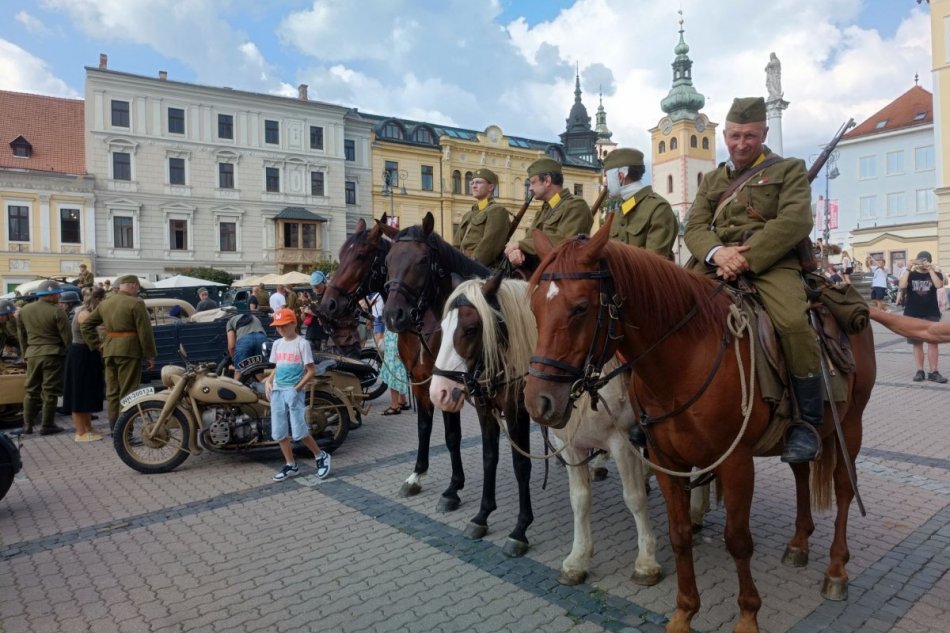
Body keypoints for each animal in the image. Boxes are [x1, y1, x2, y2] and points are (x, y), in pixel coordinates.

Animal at [384, 214, 536, 552]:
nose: (392, 315)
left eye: (422, 260)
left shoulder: (511, 406)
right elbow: (472, 448)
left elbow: (517, 462)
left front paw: (519, 529)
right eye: (387, 261)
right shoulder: (431, 385)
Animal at [430, 274, 660, 584]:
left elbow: (521, 467)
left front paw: (519, 531)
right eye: (442, 328)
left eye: (470, 329)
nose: (439, 392)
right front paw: (482, 516)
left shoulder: (615, 440)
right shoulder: (490, 411)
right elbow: (491, 460)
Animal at [524, 220, 880, 632]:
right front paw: (684, 612)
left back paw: (836, 570)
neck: (683, 361)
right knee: (801, 471)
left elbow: (737, 539)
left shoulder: (734, 462)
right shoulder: (664, 460)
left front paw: (747, 616)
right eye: (534, 306)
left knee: (843, 489)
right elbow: (678, 535)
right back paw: (798, 543)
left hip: (851, 424)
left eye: (580, 307)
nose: (538, 401)